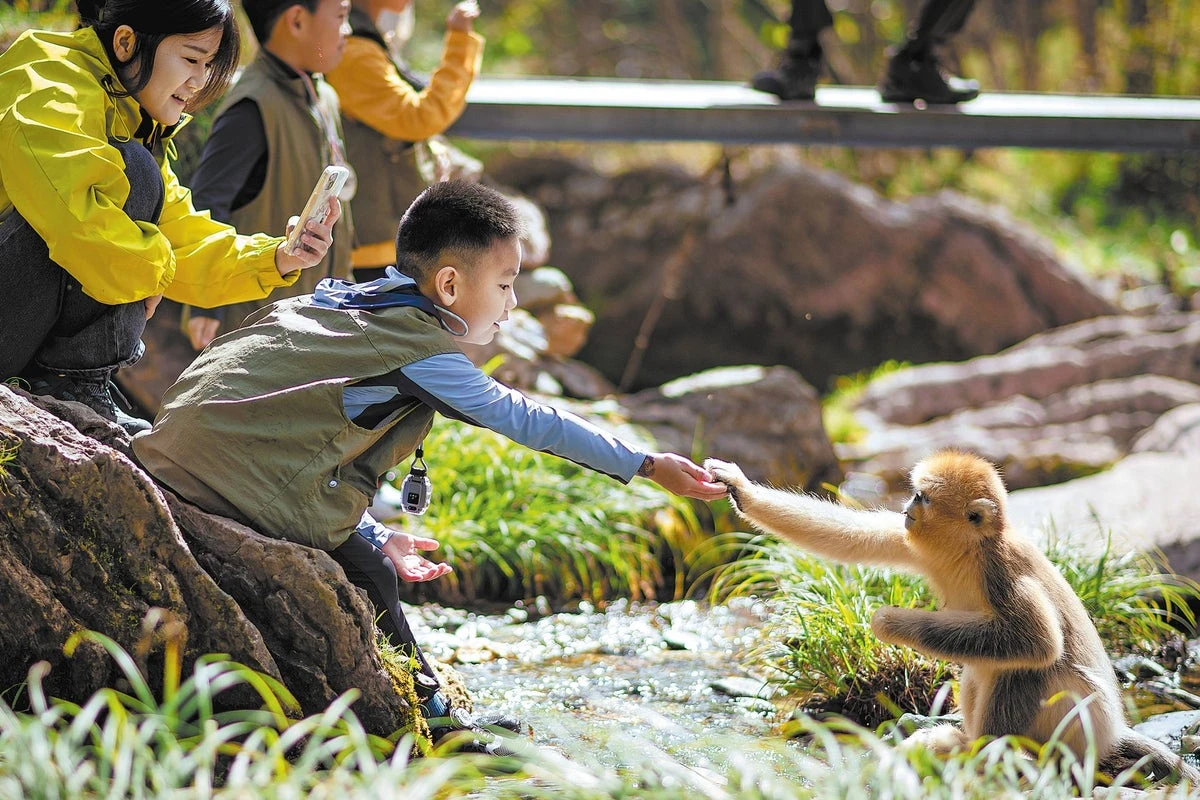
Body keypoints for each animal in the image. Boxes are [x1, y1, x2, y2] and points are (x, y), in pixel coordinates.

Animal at [704, 450, 1199, 784]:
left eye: (921, 497)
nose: (906, 508)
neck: (970, 553)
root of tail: (1112, 732)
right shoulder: (917, 543)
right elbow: (854, 537)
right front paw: (741, 489)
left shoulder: (1003, 572)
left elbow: (1039, 642)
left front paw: (889, 622)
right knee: (984, 669)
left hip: (1080, 724)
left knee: (1028, 668)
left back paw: (982, 751)